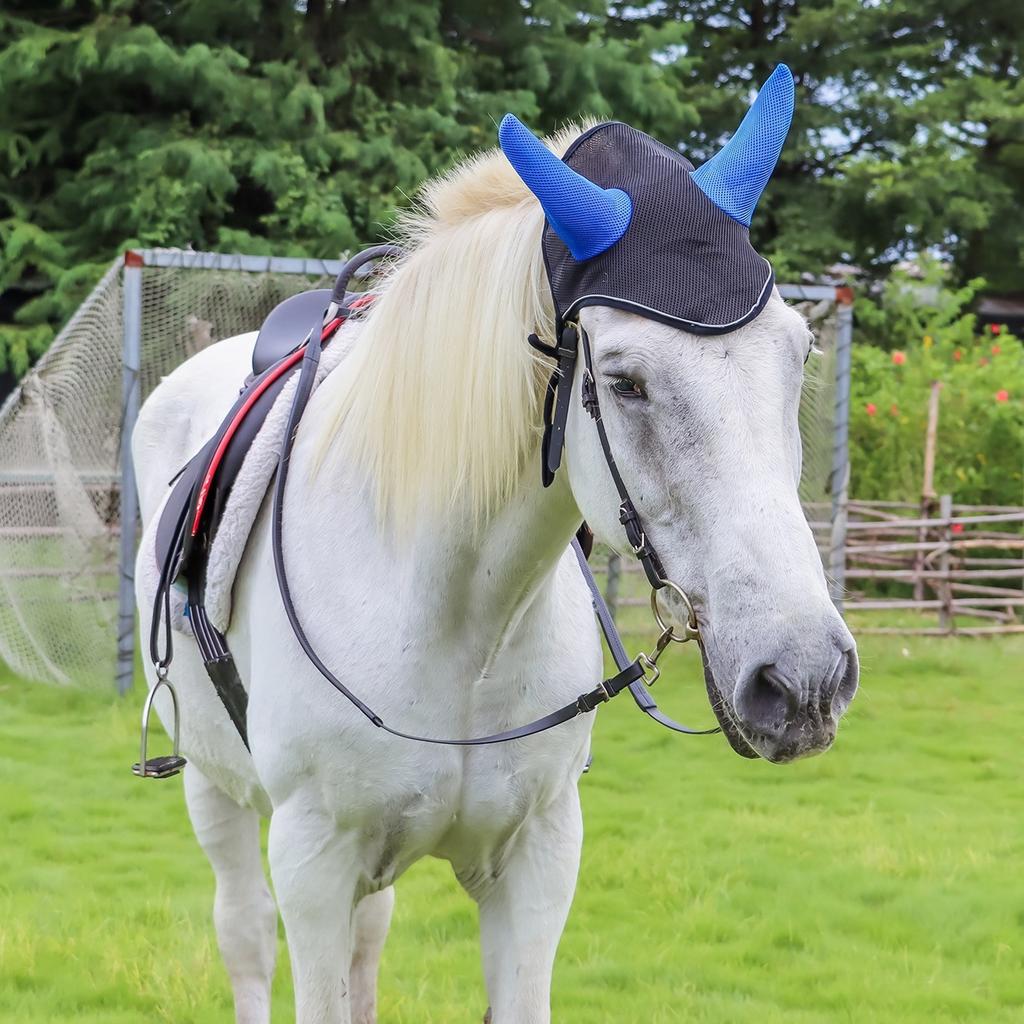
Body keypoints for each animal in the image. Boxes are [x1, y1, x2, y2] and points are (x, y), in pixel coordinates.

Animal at [133, 64, 858, 1024]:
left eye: (800, 353)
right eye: (624, 381)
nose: (804, 678)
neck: (454, 621)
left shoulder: (538, 861)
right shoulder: (312, 866)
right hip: (215, 791)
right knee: (244, 934)